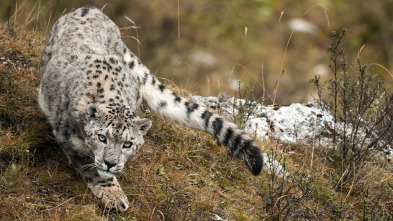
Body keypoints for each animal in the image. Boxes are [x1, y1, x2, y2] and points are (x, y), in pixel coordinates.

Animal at [38, 6, 262, 212]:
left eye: (127, 144)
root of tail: (89, 8)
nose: (111, 162)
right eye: (102, 137)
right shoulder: (69, 139)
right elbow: (92, 168)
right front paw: (114, 195)